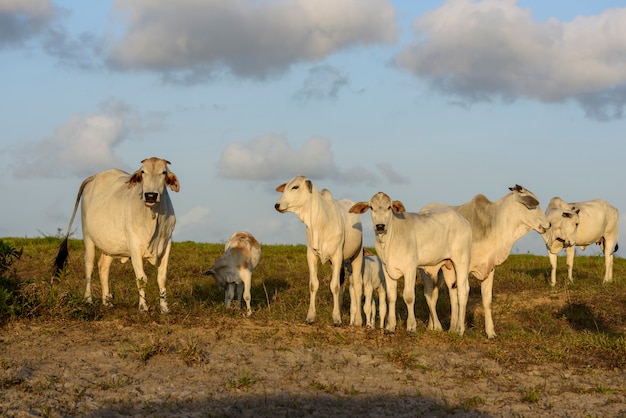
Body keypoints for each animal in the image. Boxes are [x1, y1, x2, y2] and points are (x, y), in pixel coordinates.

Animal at [52, 158, 179, 314]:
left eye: (164, 172)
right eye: (143, 171)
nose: (150, 195)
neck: (153, 217)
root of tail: (94, 177)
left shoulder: (167, 244)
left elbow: (162, 278)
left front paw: (164, 308)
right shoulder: (134, 246)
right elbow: (141, 278)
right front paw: (143, 307)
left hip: (109, 245)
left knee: (103, 267)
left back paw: (107, 301)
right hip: (87, 236)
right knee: (89, 264)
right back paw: (88, 299)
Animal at [274, 176, 366, 326]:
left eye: (295, 187)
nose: (277, 205)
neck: (319, 222)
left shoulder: (337, 256)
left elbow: (334, 286)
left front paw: (336, 319)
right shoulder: (311, 255)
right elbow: (314, 284)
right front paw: (311, 316)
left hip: (357, 256)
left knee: (357, 285)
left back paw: (358, 320)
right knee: (342, 283)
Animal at [348, 191, 470, 334]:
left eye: (389, 207)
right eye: (371, 207)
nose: (380, 226)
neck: (388, 242)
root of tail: (462, 220)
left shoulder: (410, 268)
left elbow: (409, 297)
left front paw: (411, 326)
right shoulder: (387, 269)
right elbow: (391, 297)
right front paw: (390, 326)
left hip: (461, 260)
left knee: (463, 290)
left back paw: (460, 330)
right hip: (448, 266)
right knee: (453, 292)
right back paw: (452, 329)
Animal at [422, 185, 548, 338]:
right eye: (533, 205)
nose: (549, 224)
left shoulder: (489, 267)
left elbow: (486, 299)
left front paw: (490, 332)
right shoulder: (455, 267)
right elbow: (457, 296)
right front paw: (455, 329)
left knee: (433, 294)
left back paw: (431, 326)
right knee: (429, 293)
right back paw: (436, 326)